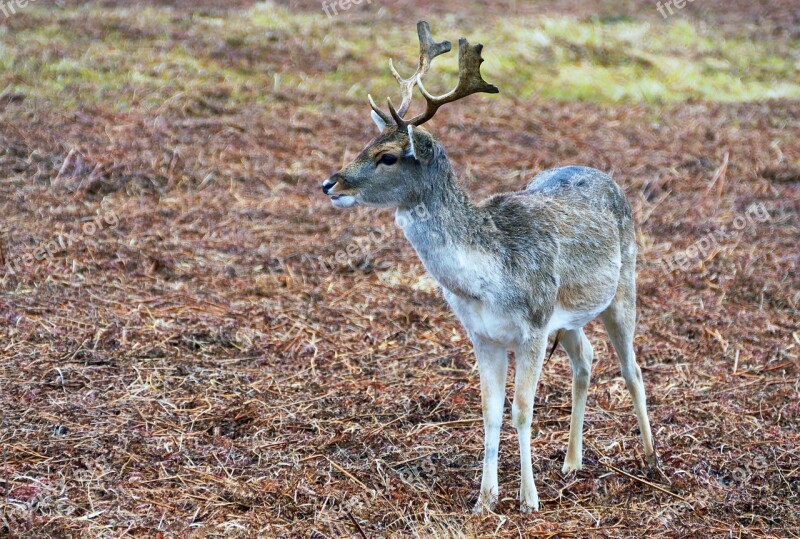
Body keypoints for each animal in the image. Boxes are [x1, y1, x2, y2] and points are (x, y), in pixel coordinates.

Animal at [322, 19, 660, 512]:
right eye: (366, 143)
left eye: (388, 156)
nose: (330, 183)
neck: (488, 278)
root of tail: (607, 177)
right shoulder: (482, 334)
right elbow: (490, 412)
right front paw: (485, 499)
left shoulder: (533, 325)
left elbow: (522, 410)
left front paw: (528, 499)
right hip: (569, 317)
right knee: (585, 360)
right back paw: (571, 462)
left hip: (623, 286)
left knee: (632, 368)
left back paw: (651, 458)